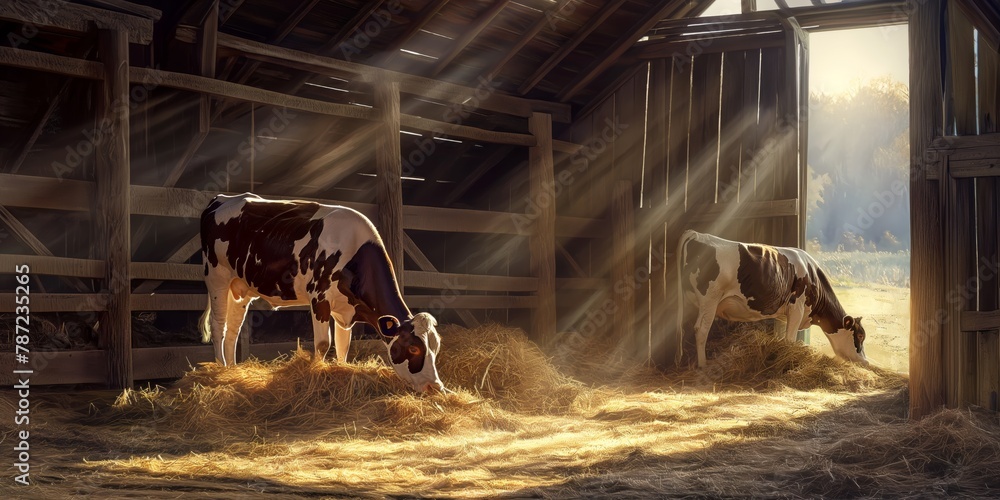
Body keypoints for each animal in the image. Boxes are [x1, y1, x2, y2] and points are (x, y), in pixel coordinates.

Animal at [198, 193, 445, 393]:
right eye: (413, 347)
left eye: (436, 347)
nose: (435, 387)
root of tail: (221, 199)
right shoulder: (319, 298)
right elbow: (323, 344)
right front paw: (317, 374)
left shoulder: (345, 310)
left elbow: (343, 345)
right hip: (217, 277)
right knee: (219, 327)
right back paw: (220, 369)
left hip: (241, 287)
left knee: (233, 330)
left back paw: (232, 371)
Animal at [676, 230, 868, 368]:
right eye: (860, 335)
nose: (866, 361)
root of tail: (697, 235)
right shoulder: (797, 308)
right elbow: (789, 340)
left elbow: (782, 336)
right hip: (709, 299)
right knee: (701, 329)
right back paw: (702, 365)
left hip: (688, 301)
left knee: (683, 328)